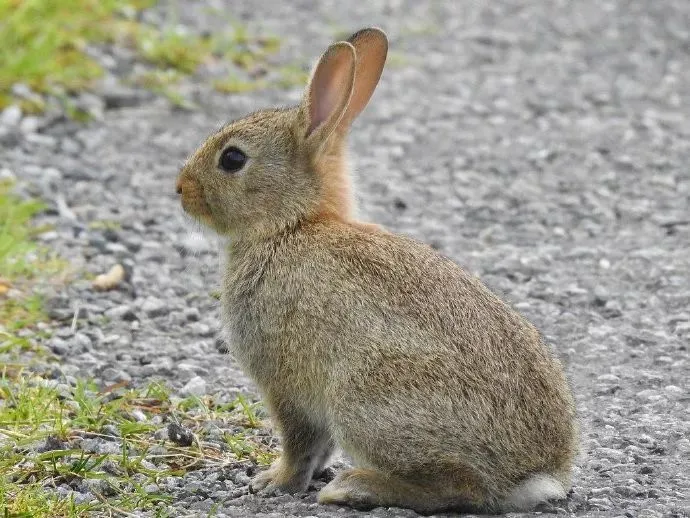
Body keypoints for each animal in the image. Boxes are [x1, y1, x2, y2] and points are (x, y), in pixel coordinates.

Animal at [175, 28, 576, 516]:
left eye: (232, 159)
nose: (180, 189)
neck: (291, 225)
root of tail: (532, 476)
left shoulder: (286, 383)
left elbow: (299, 442)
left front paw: (274, 481)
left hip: (365, 403)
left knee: (461, 488)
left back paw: (353, 488)